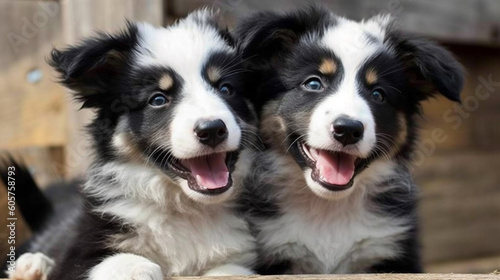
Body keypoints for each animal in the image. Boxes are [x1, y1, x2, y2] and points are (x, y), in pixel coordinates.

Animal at [7, 9, 260, 280]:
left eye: (226, 88)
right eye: (158, 99)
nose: (212, 130)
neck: (185, 208)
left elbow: (228, 270)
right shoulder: (79, 251)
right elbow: (112, 260)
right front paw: (136, 269)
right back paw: (31, 265)